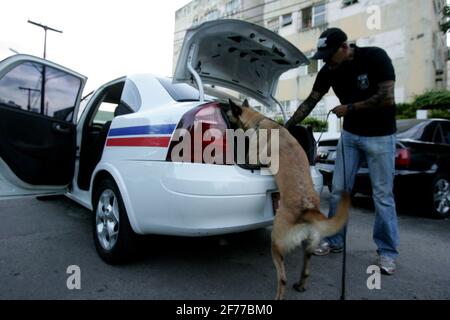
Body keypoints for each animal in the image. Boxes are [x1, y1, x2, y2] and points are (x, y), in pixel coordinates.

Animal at [227, 99, 350, 298]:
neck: (259, 121)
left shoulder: (252, 157)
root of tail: (308, 209)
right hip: (308, 247)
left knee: (282, 278)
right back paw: (300, 284)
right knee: (306, 270)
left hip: (276, 243)